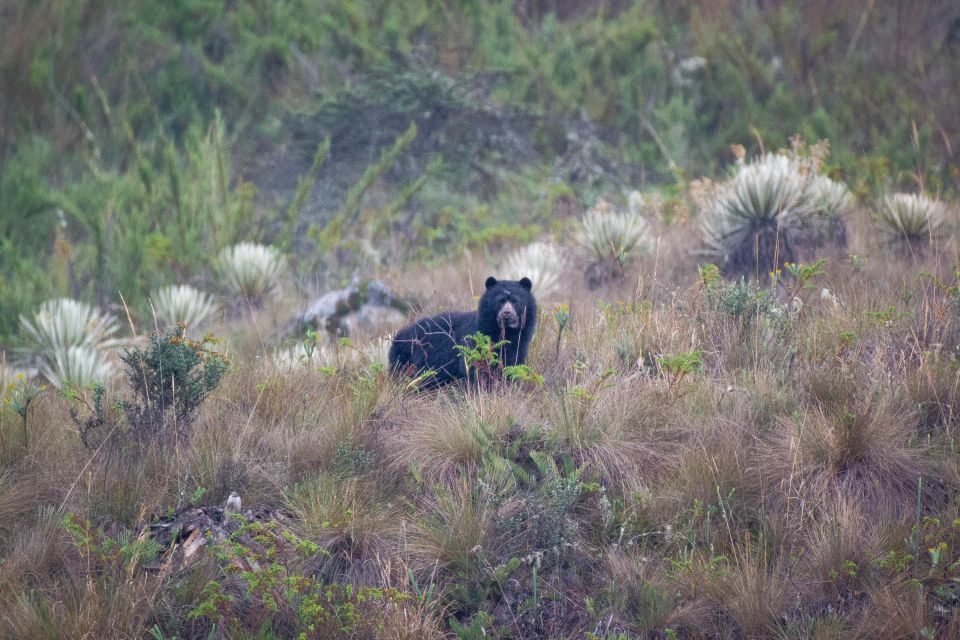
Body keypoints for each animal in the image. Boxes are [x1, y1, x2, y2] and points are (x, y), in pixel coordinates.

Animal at [392, 276, 540, 384]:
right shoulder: (475, 340)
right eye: (500, 301)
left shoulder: (519, 344)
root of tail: (399, 336)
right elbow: (473, 368)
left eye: (515, 301)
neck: (505, 333)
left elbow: (511, 364)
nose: (507, 314)